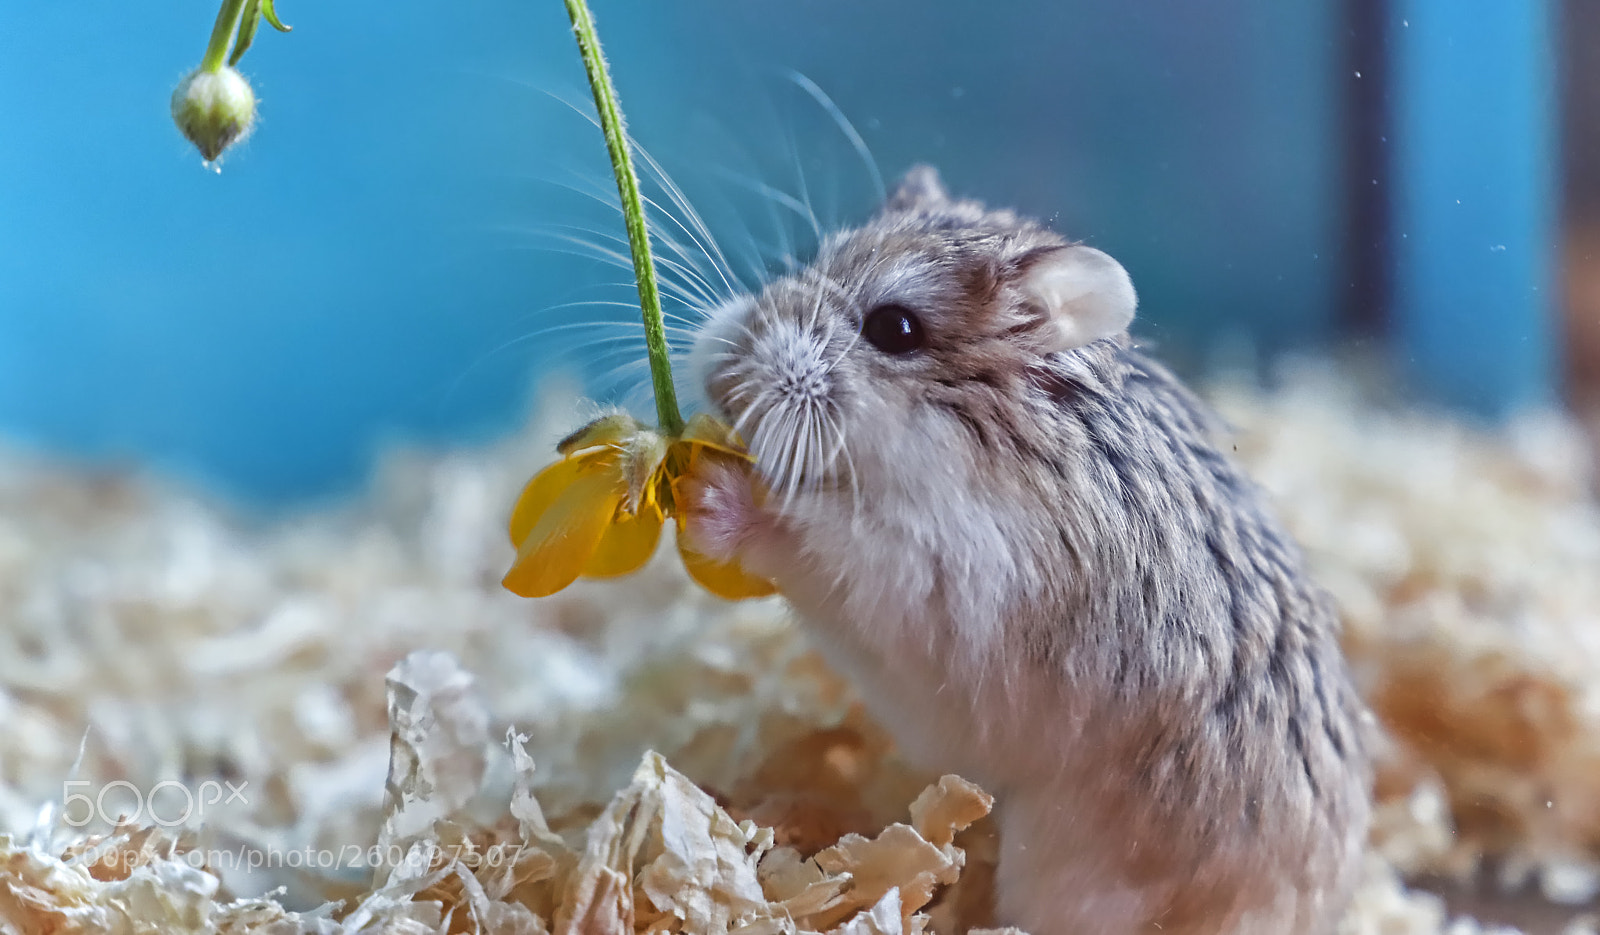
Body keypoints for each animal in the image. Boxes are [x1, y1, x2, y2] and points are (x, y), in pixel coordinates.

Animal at [682, 166, 1371, 935]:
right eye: (815, 258)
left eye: (894, 328)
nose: (718, 374)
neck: (994, 435)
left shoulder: (942, 578)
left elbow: (813, 542)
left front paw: (712, 494)